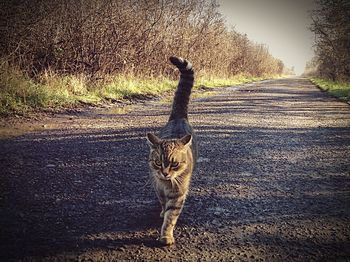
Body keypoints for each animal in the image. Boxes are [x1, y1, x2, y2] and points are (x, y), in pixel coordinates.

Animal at [146, 55, 198, 246]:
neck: (167, 184)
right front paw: (162, 212)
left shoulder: (178, 194)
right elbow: (163, 203)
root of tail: (178, 117)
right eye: (158, 162)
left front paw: (166, 235)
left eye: (174, 164)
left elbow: (171, 217)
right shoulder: (157, 186)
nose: (165, 173)